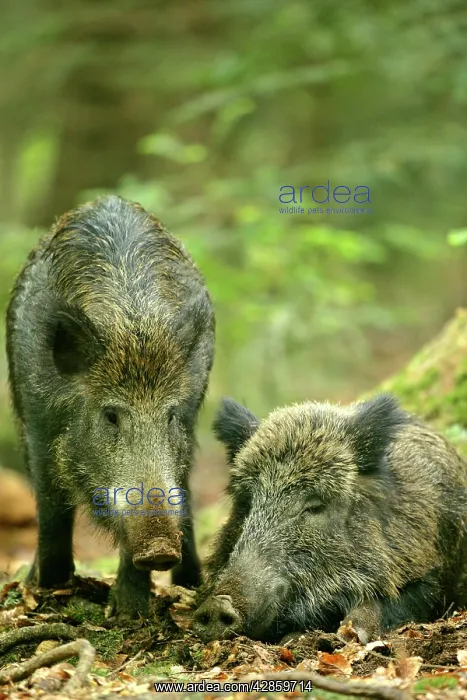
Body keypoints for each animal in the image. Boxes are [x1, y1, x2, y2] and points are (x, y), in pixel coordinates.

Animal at [6, 195, 215, 619]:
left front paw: (129, 614)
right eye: (111, 415)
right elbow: (52, 511)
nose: (159, 549)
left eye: (170, 414)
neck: (132, 323)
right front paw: (50, 590)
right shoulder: (37, 427)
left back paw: (190, 585)